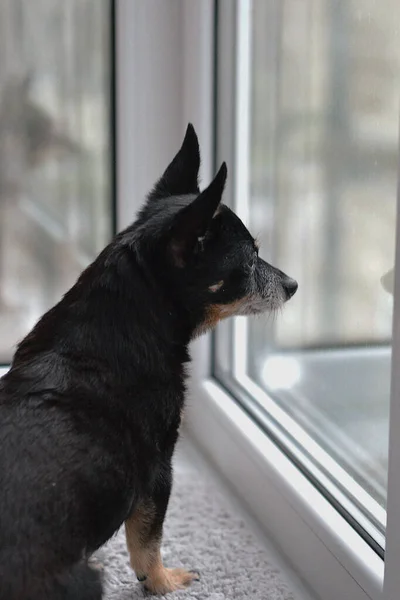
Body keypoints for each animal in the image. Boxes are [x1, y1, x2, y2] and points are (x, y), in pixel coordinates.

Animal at [0, 124, 296, 596]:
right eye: (250, 263)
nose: (293, 284)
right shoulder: (158, 471)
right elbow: (147, 540)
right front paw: (163, 582)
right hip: (85, 577)